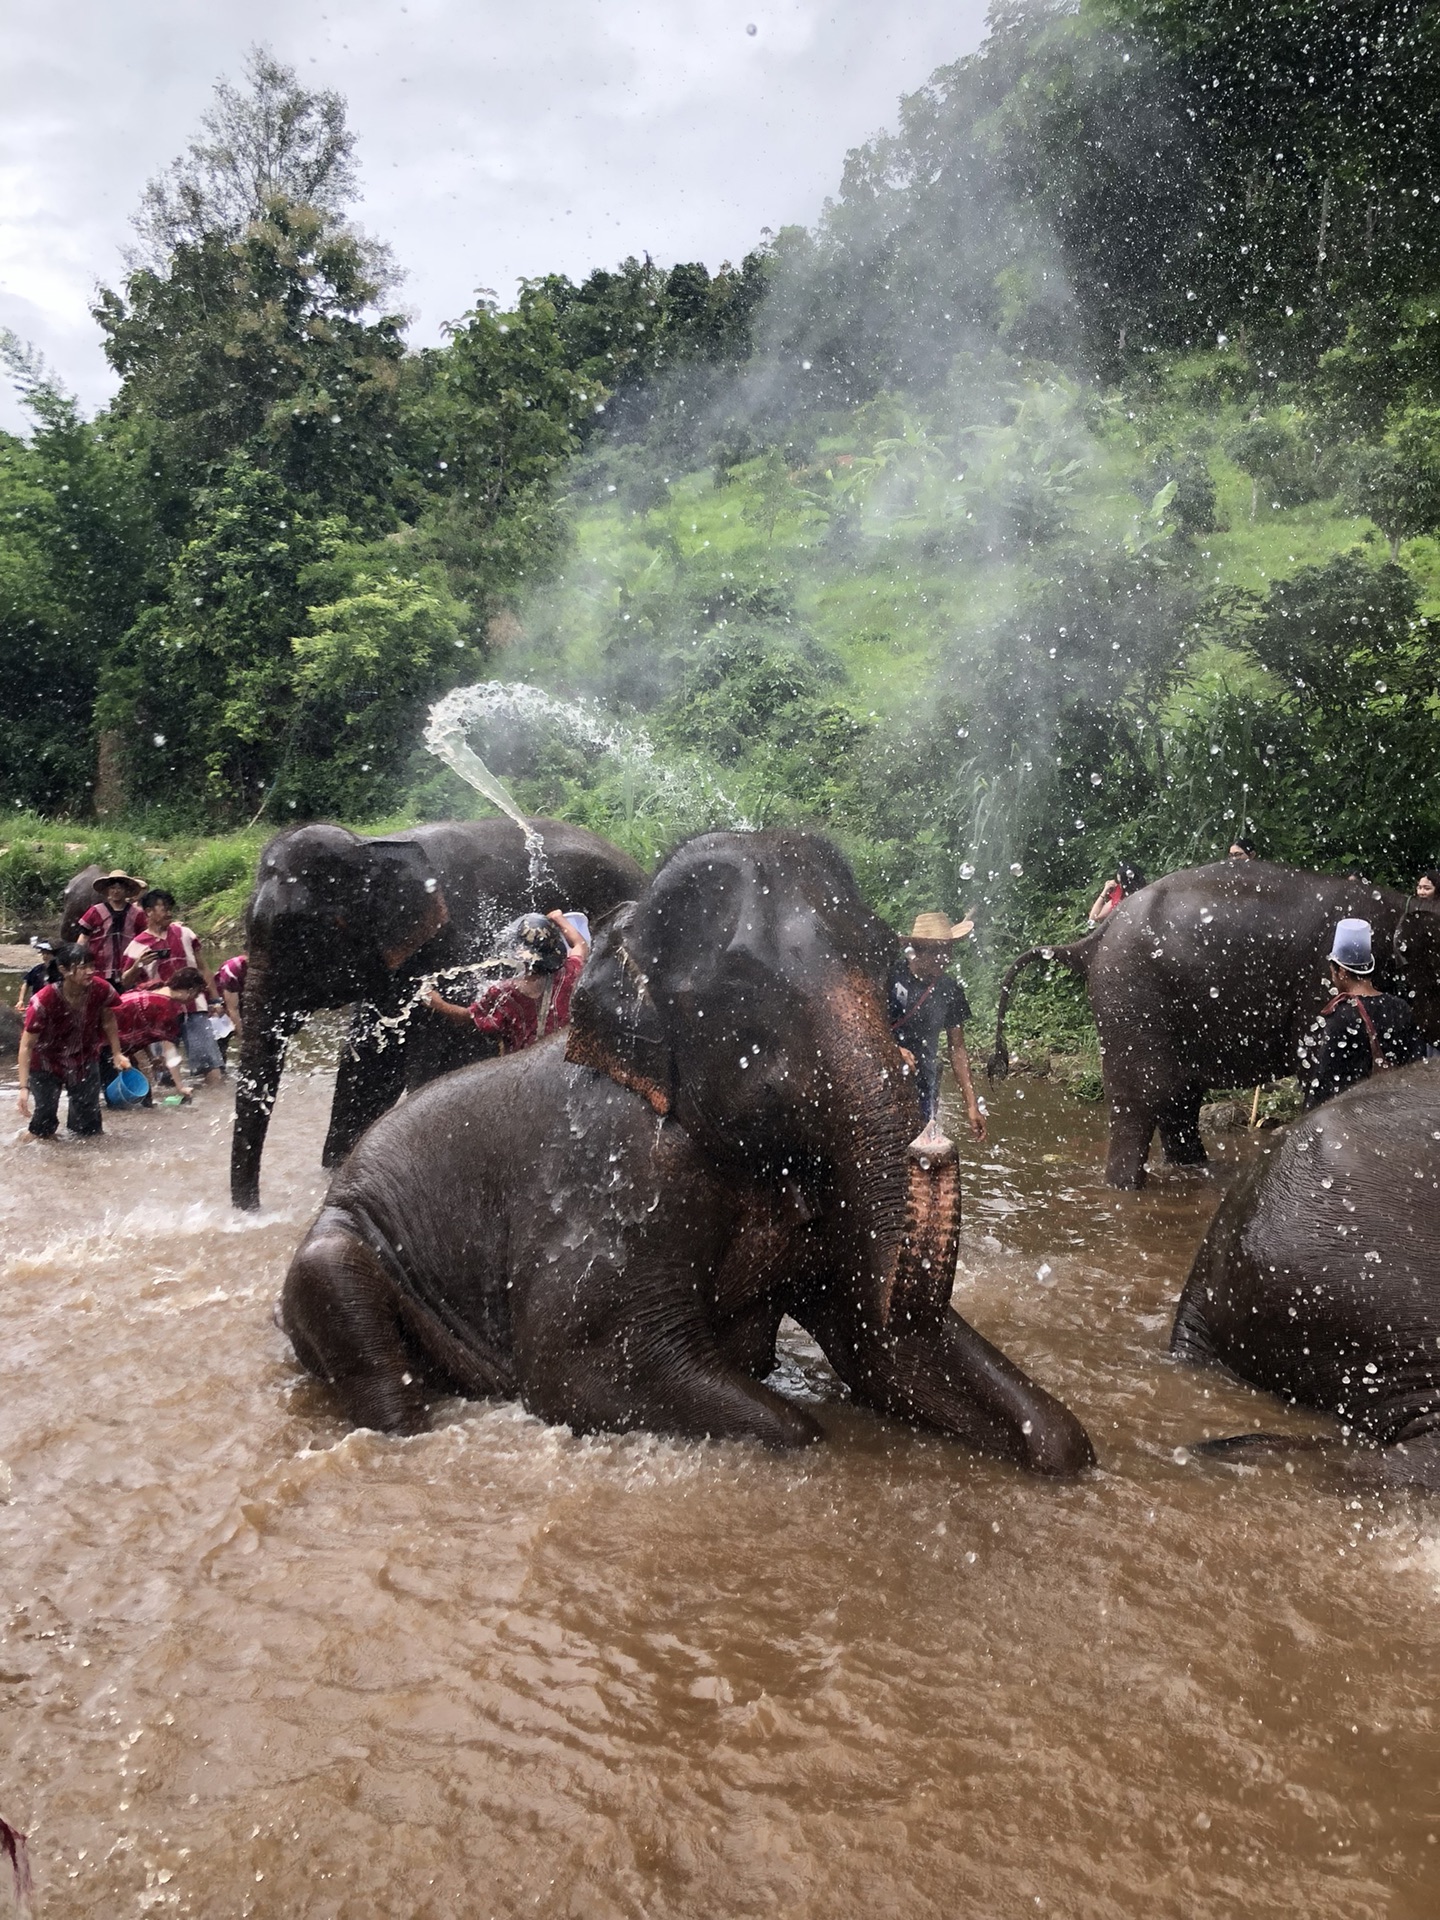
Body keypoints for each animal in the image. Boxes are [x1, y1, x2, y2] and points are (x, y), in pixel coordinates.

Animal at [232, 817, 648, 1205]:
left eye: (303, 938)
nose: (251, 1211)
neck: (374, 846)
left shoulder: (460, 947)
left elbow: (441, 1060)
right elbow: (368, 1067)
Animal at [278, 825, 1090, 1466]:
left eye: (890, 966)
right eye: (747, 1003)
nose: (933, 1140)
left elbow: (888, 1347)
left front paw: (1064, 1450)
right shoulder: (621, 1173)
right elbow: (582, 1368)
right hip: (339, 1247)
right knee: (353, 1315)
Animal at [990, 856, 1440, 1182]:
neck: (1400, 907)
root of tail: (1093, 940)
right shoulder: (1319, 987)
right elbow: (1321, 1072)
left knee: (1177, 1097)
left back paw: (1197, 1172)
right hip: (1131, 994)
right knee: (1142, 1099)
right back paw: (1126, 1187)